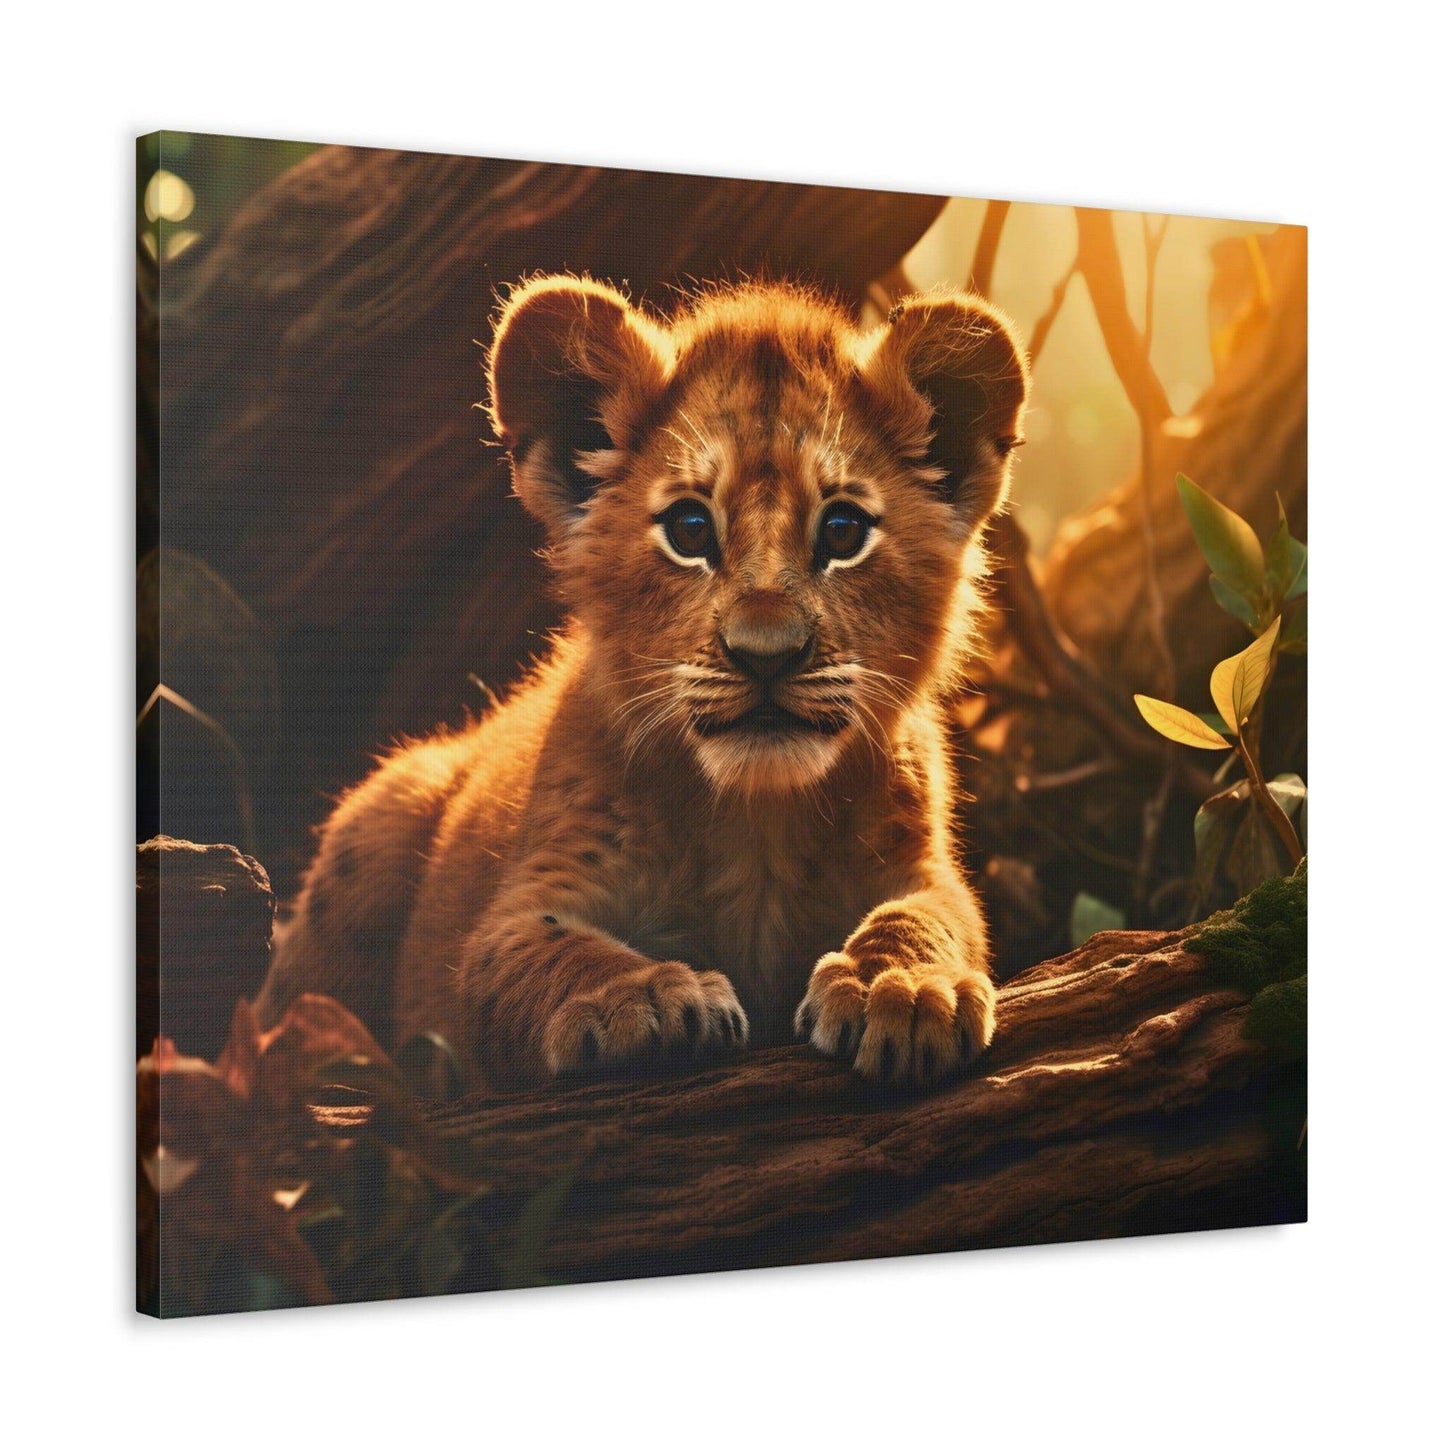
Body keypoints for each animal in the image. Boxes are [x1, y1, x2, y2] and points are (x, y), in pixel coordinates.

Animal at [255, 275, 1030, 1091]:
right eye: (689, 530)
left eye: (843, 531)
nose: (766, 655)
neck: (755, 821)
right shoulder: (518, 910)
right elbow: (554, 952)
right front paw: (645, 997)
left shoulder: (921, 868)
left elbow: (927, 917)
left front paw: (903, 986)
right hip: (380, 817)